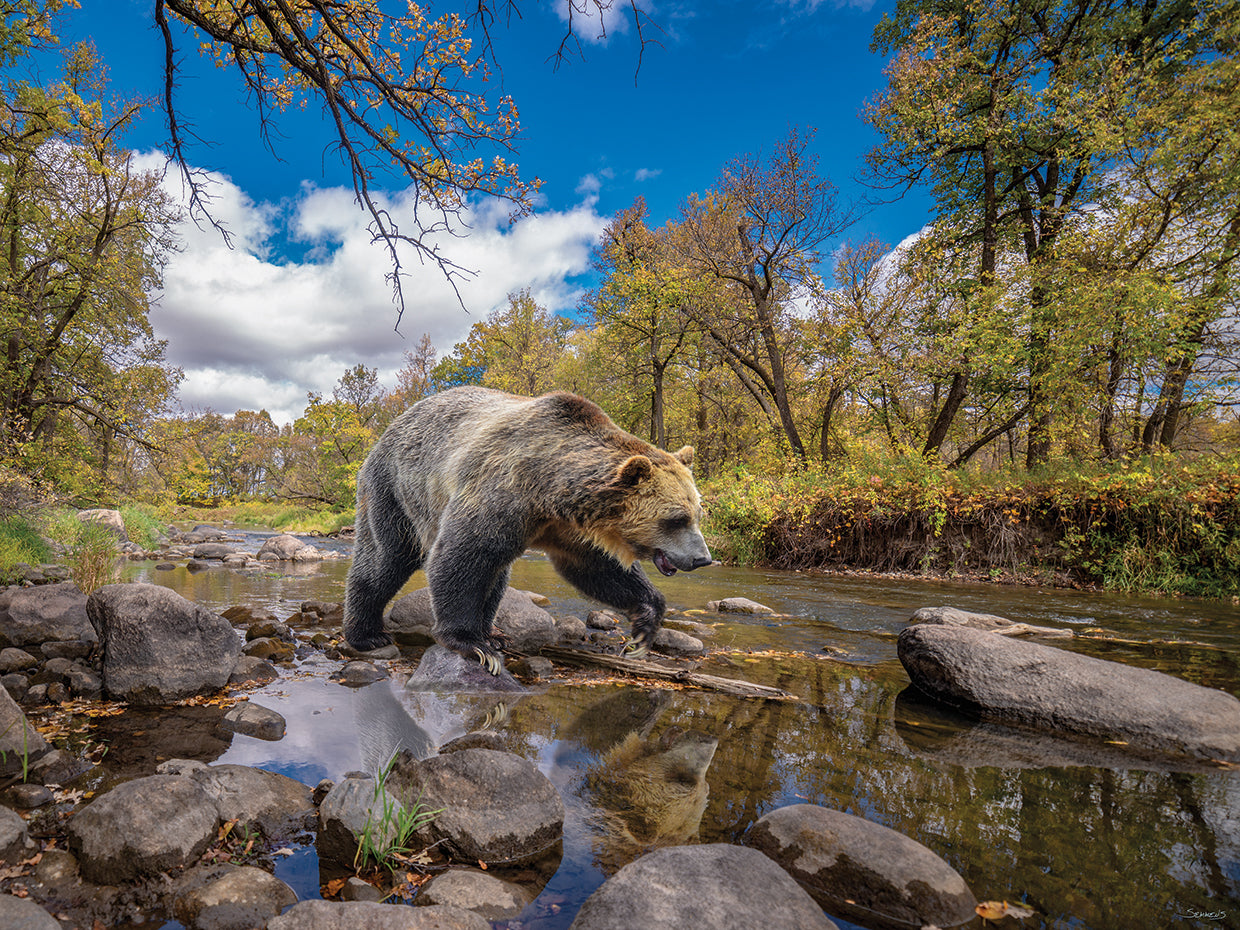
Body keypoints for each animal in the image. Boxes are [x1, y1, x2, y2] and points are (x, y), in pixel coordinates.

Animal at [343, 386, 713, 671]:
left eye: (698, 513)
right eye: (676, 519)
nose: (703, 559)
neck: (549, 490)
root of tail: (391, 427)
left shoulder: (569, 528)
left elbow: (597, 568)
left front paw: (644, 624)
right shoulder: (501, 489)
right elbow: (460, 555)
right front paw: (471, 644)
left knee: (497, 574)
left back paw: (494, 632)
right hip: (394, 489)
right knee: (386, 558)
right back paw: (367, 634)